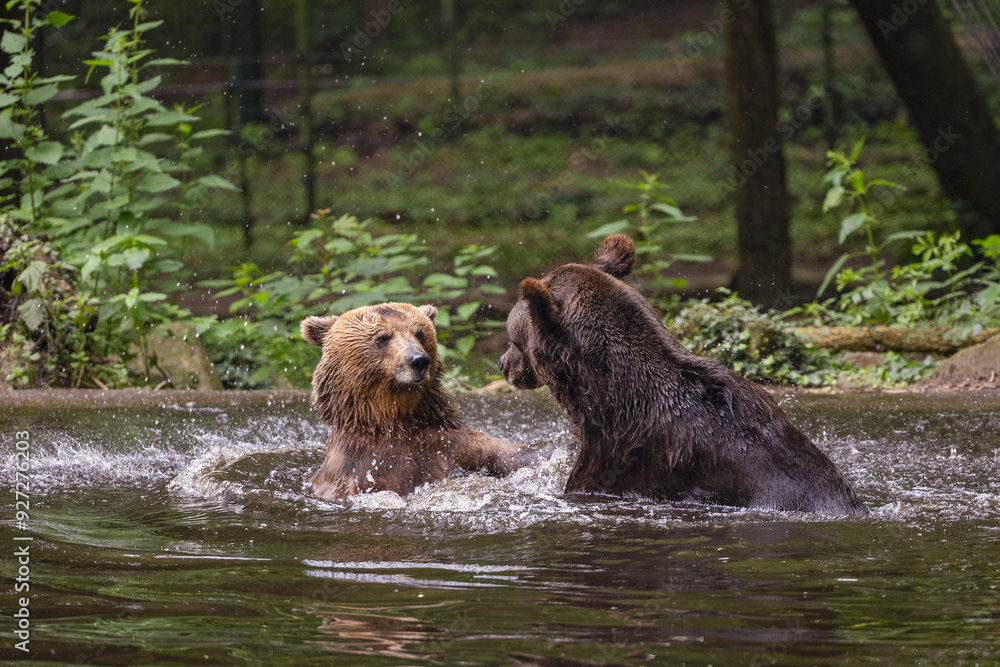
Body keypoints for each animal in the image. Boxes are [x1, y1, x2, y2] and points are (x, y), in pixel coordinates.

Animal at [301, 302, 535, 501]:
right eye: (382, 338)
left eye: (420, 333)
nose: (419, 360)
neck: (391, 422)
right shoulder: (356, 470)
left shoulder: (451, 442)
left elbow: (507, 452)